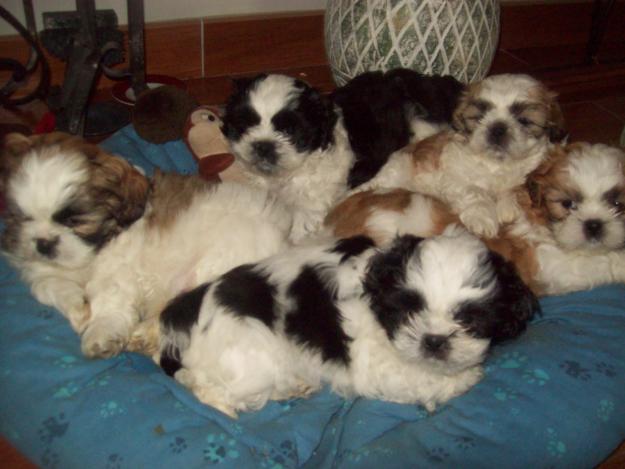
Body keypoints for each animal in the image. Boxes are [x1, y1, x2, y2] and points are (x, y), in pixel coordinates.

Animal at [0, 133, 292, 356]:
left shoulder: (115, 270)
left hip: (219, 262)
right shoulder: (39, 267)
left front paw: (100, 331)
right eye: (23, 218)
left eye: (75, 221)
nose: (44, 243)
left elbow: (107, 298)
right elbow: (46, 285)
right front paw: (78, 307)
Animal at [158, 227, 532, 416]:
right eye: (408, 310)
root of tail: (183, 314)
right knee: (208, 387)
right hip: (249, 356)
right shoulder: (378, 366)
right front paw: (464, 378)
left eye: (469, 318)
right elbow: (427, 381)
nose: (435, 340)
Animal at [358, 74, 568, 238]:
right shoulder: (454, 175)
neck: (496, 163)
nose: (497, 128)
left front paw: (509, 208)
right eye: (478, 117)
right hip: (395, 173)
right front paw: (483, 219)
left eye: (524, 121)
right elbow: (474, 190)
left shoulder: (532, 169)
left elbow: (516, 187)